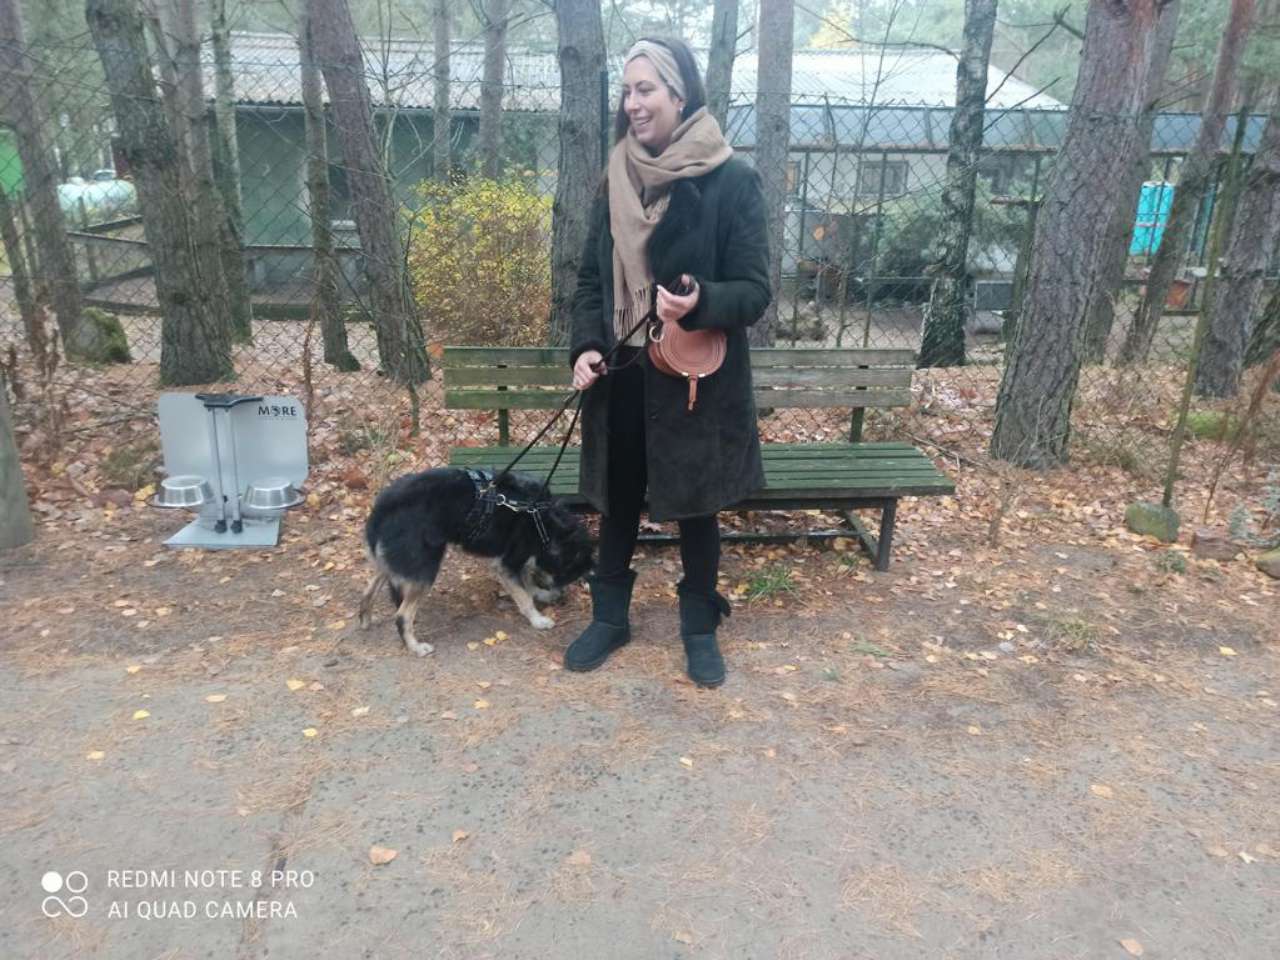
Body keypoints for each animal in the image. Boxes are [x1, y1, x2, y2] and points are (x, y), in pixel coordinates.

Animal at [358, 467, 594, 655]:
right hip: (425, 569)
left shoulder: (516, 561)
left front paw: (540, 594)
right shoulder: (507, 563)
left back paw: (365, 620)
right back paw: (415, 647)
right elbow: (524, 596)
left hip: (396, 562)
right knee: (402, 615)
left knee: (369, 590)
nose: (561, 596)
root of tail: (382, 507)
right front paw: (538, 619)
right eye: (565, 575)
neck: (543, 521)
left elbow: (527, 580)